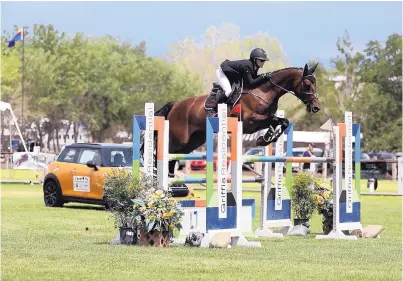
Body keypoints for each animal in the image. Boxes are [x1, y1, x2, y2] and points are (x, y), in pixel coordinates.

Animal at [147, 63, 320, 175]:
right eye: (306, 84)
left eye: (315, 84)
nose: (316, 107)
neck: (263, 92)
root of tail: (175, 105)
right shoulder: (250, 122)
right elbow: (275, 121)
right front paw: (265, 138)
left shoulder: (264, 119)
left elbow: (282, 121)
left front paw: (266, 138)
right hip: (179, 139)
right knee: (165, 152)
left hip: (194, 141)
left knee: (174, 158)